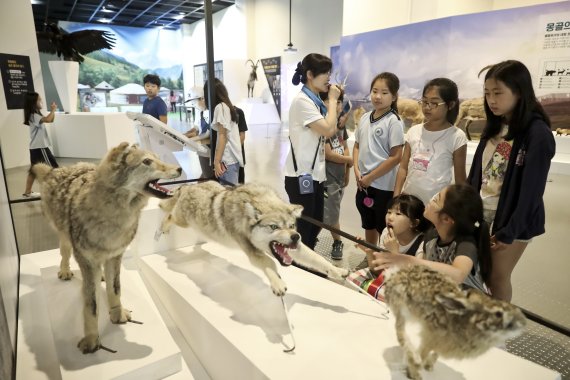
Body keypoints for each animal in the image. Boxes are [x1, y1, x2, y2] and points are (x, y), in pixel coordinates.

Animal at [31, 142, 182, 354]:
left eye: (157, 158)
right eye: (146, 161)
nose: (180, 169)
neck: (114, 218)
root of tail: (56, 170)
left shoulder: (115, 255)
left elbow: (115, 289)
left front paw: (117, 315)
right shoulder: (86, 260)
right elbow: (91, 305)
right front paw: (92, 340)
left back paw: (100, 276)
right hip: (65, 238)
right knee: (65, 254)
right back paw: (65, 271)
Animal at [158, 180, 348, 294]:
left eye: (292, 226)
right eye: (274, 227)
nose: (296, 237)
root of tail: (187, 186)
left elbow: (318, 260)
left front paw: (338, 272)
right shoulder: (251, 251)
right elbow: (269, 263)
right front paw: (277, 283)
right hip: (183, 221)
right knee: (169, 215)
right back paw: (162, 228)